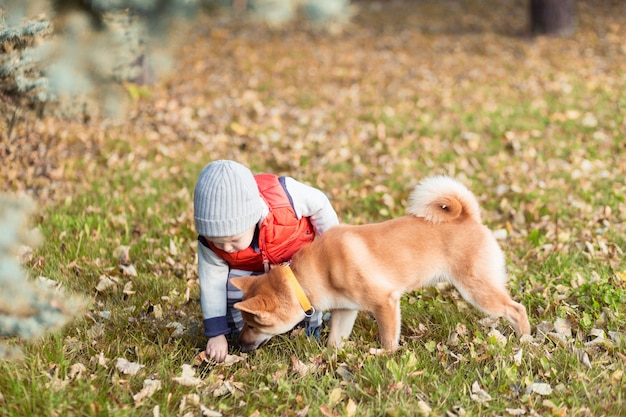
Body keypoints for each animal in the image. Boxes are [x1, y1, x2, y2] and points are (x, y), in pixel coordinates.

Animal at [232, 176, 528, 352]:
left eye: (255, 326)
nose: (239, 344)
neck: (312, 275)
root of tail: (468, 217)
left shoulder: (385, 302)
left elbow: (388, 340)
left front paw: (385, 356)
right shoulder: (345, 310)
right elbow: (335, 341)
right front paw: (333, 358)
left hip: (475, 287)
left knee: (516, 308)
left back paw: (525, 339)